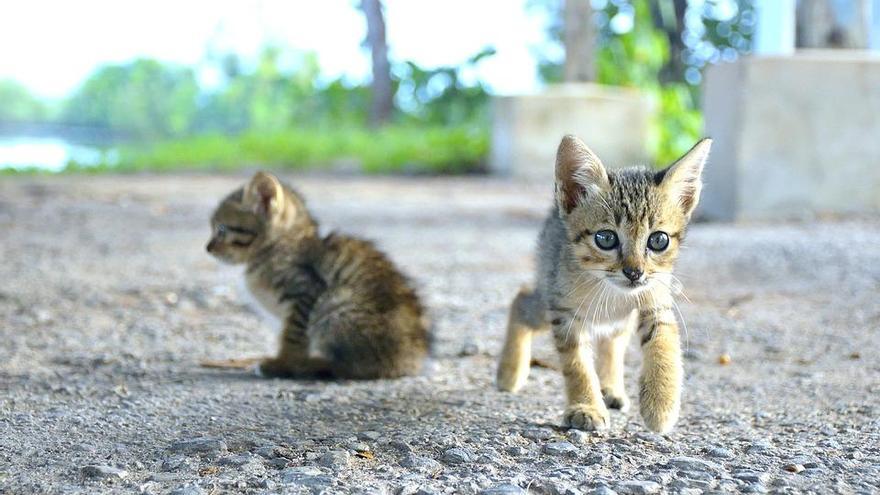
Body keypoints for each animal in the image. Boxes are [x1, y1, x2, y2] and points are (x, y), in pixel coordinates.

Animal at [204, 172, 430, 378]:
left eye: (221, 229)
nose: (208, 248)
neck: (277, 248)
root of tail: (410, 361)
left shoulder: (304, 291)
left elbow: (292, 335)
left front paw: (283, 363)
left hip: (337, 305)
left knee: (357, 367)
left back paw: (310, 366)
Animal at [498, 136, 712, 434]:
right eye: (606, 238)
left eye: (658, 240)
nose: (634, 272)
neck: (612, 292)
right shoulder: (564, 314)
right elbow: (576, 364)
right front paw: (585, 406)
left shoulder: (656, 297)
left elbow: (663, 343)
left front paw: (661, 402)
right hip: (546, 297)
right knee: (521, 298)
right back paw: (509, 372)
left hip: (619, 320)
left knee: (613, 342)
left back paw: (610, 388)